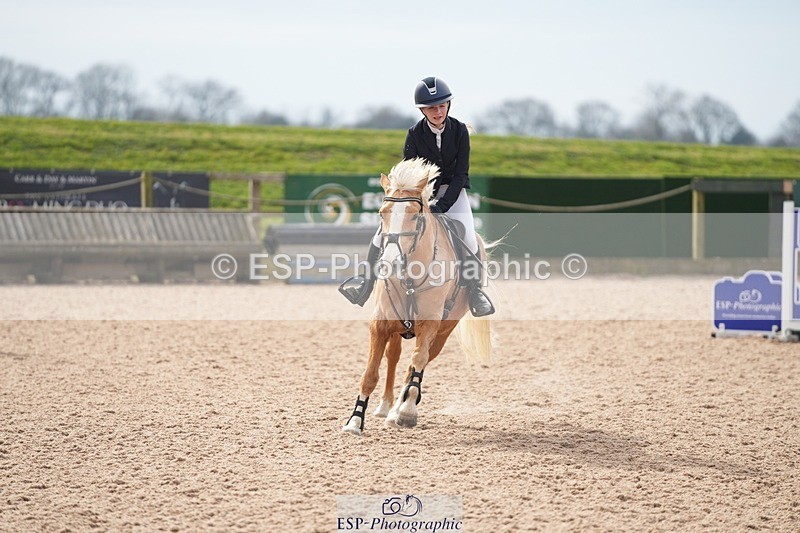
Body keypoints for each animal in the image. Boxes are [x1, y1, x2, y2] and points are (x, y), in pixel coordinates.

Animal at [342, 158, 493, 435]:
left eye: (415, 215)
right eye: (382, 213)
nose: (389, 263)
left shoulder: (430, 324)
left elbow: (417, 362)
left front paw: (407, 412)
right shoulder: (380, 324)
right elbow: (370, 374)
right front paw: (355, 421)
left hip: (443, 332)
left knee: (417, 363)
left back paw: (397, 410)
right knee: (394, 357)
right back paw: (385, 407)